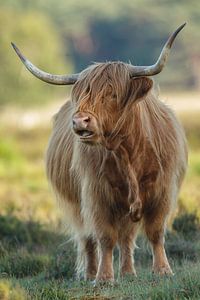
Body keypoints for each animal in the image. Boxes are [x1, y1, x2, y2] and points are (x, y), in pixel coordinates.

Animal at [12, 22, 188, 282]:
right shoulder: (96, 194)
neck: (127, 152)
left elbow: (155, 232)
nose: (79, 121)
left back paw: (128, 273)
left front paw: (163, 270)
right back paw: (90, 274)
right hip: (77, 204)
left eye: (112, 93)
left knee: (127, 236)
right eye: (82, 94)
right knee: (88, 237)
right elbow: (105, 236)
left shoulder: (162, 189)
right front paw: (103, 278)